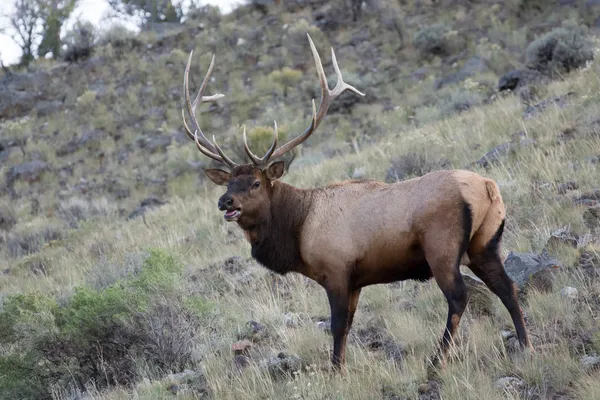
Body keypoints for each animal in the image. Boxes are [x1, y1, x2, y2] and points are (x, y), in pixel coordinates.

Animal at [180, 33, 532, 372]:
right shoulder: (357, 281)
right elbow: (348, 326)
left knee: (460, 297)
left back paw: (436, 362)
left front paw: (337, 372)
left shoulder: (336, 271)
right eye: (229, 182)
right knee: (507, 287)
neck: (298, 229)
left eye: (255, 183)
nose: (225, 202)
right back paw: (526, 346)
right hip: (485, 243)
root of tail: (487, 187)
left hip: (442, 248)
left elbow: (337, 327)